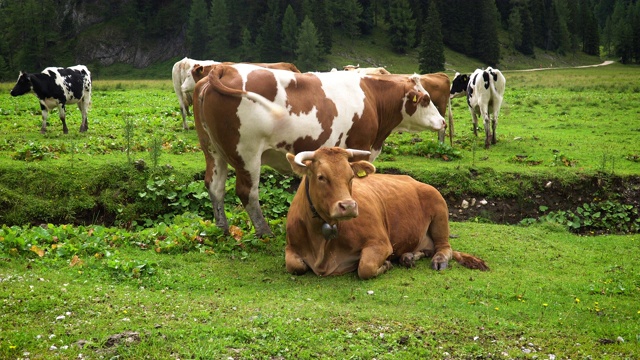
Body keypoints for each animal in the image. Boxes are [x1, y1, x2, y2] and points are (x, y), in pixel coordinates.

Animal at [192, 63, 448, 238]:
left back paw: (222, 228)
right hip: (247, 153)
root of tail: (224, 67)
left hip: (212, 150)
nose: (443, 121)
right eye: (425, 99)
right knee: (248, 192)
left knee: (215, 186)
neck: (372, 96)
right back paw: (264, 232)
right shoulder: (360, 145)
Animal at [282, 146, 488, 278]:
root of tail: (414, 180)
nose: (348, 206)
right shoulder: (291, 246)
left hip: (439, 209)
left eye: (351, 177)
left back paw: (437, 260)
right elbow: (294, 266)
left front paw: (386, 264)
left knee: (444, 248)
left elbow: (365, 267)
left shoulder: (381, 243)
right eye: (321, 177)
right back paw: (409, 256)